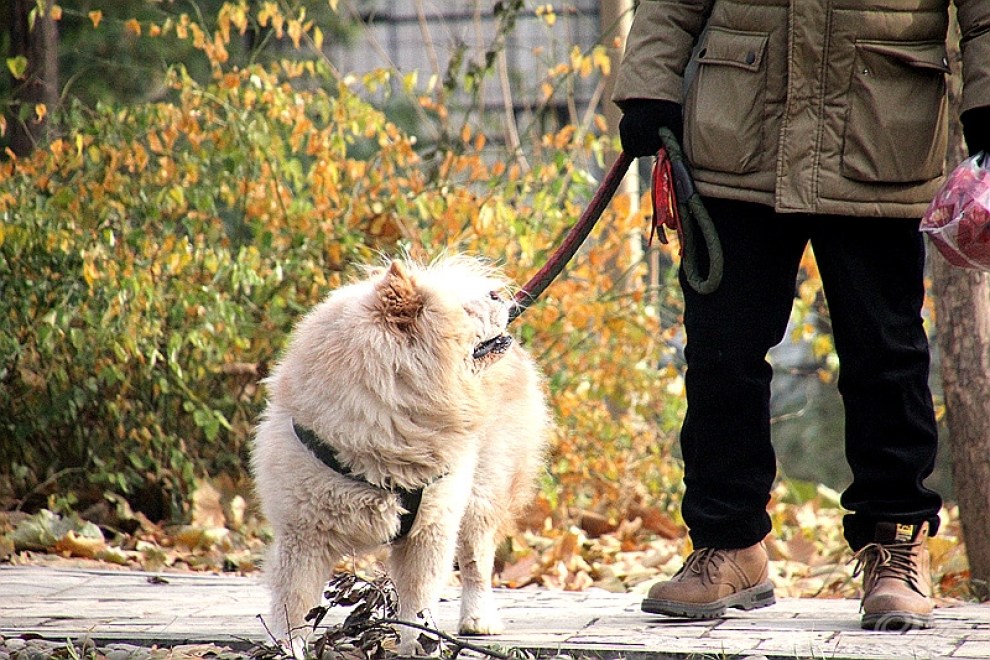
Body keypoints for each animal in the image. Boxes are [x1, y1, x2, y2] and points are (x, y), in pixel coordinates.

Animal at [250, 255, 552, 652]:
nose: (499, 294)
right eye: (465, 310)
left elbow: (419, 601)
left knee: (476, 561)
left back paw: (478, 620)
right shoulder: (303, 535)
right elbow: (294, 605)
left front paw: (423, 645)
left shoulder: (430, 529)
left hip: (484, 491)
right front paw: (287, 649)